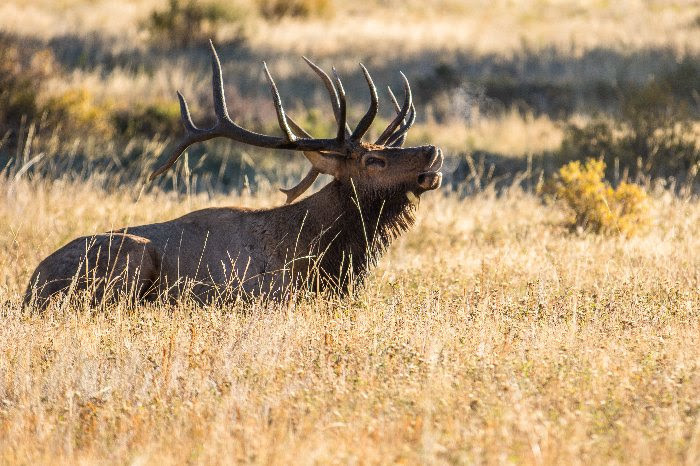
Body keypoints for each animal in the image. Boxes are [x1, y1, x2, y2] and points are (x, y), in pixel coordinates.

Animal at [23, 41, 443, 309]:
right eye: (373, 161)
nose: (432, 151)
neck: (325, 253)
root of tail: (31, 288)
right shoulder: (263, 294)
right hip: (130, 259)